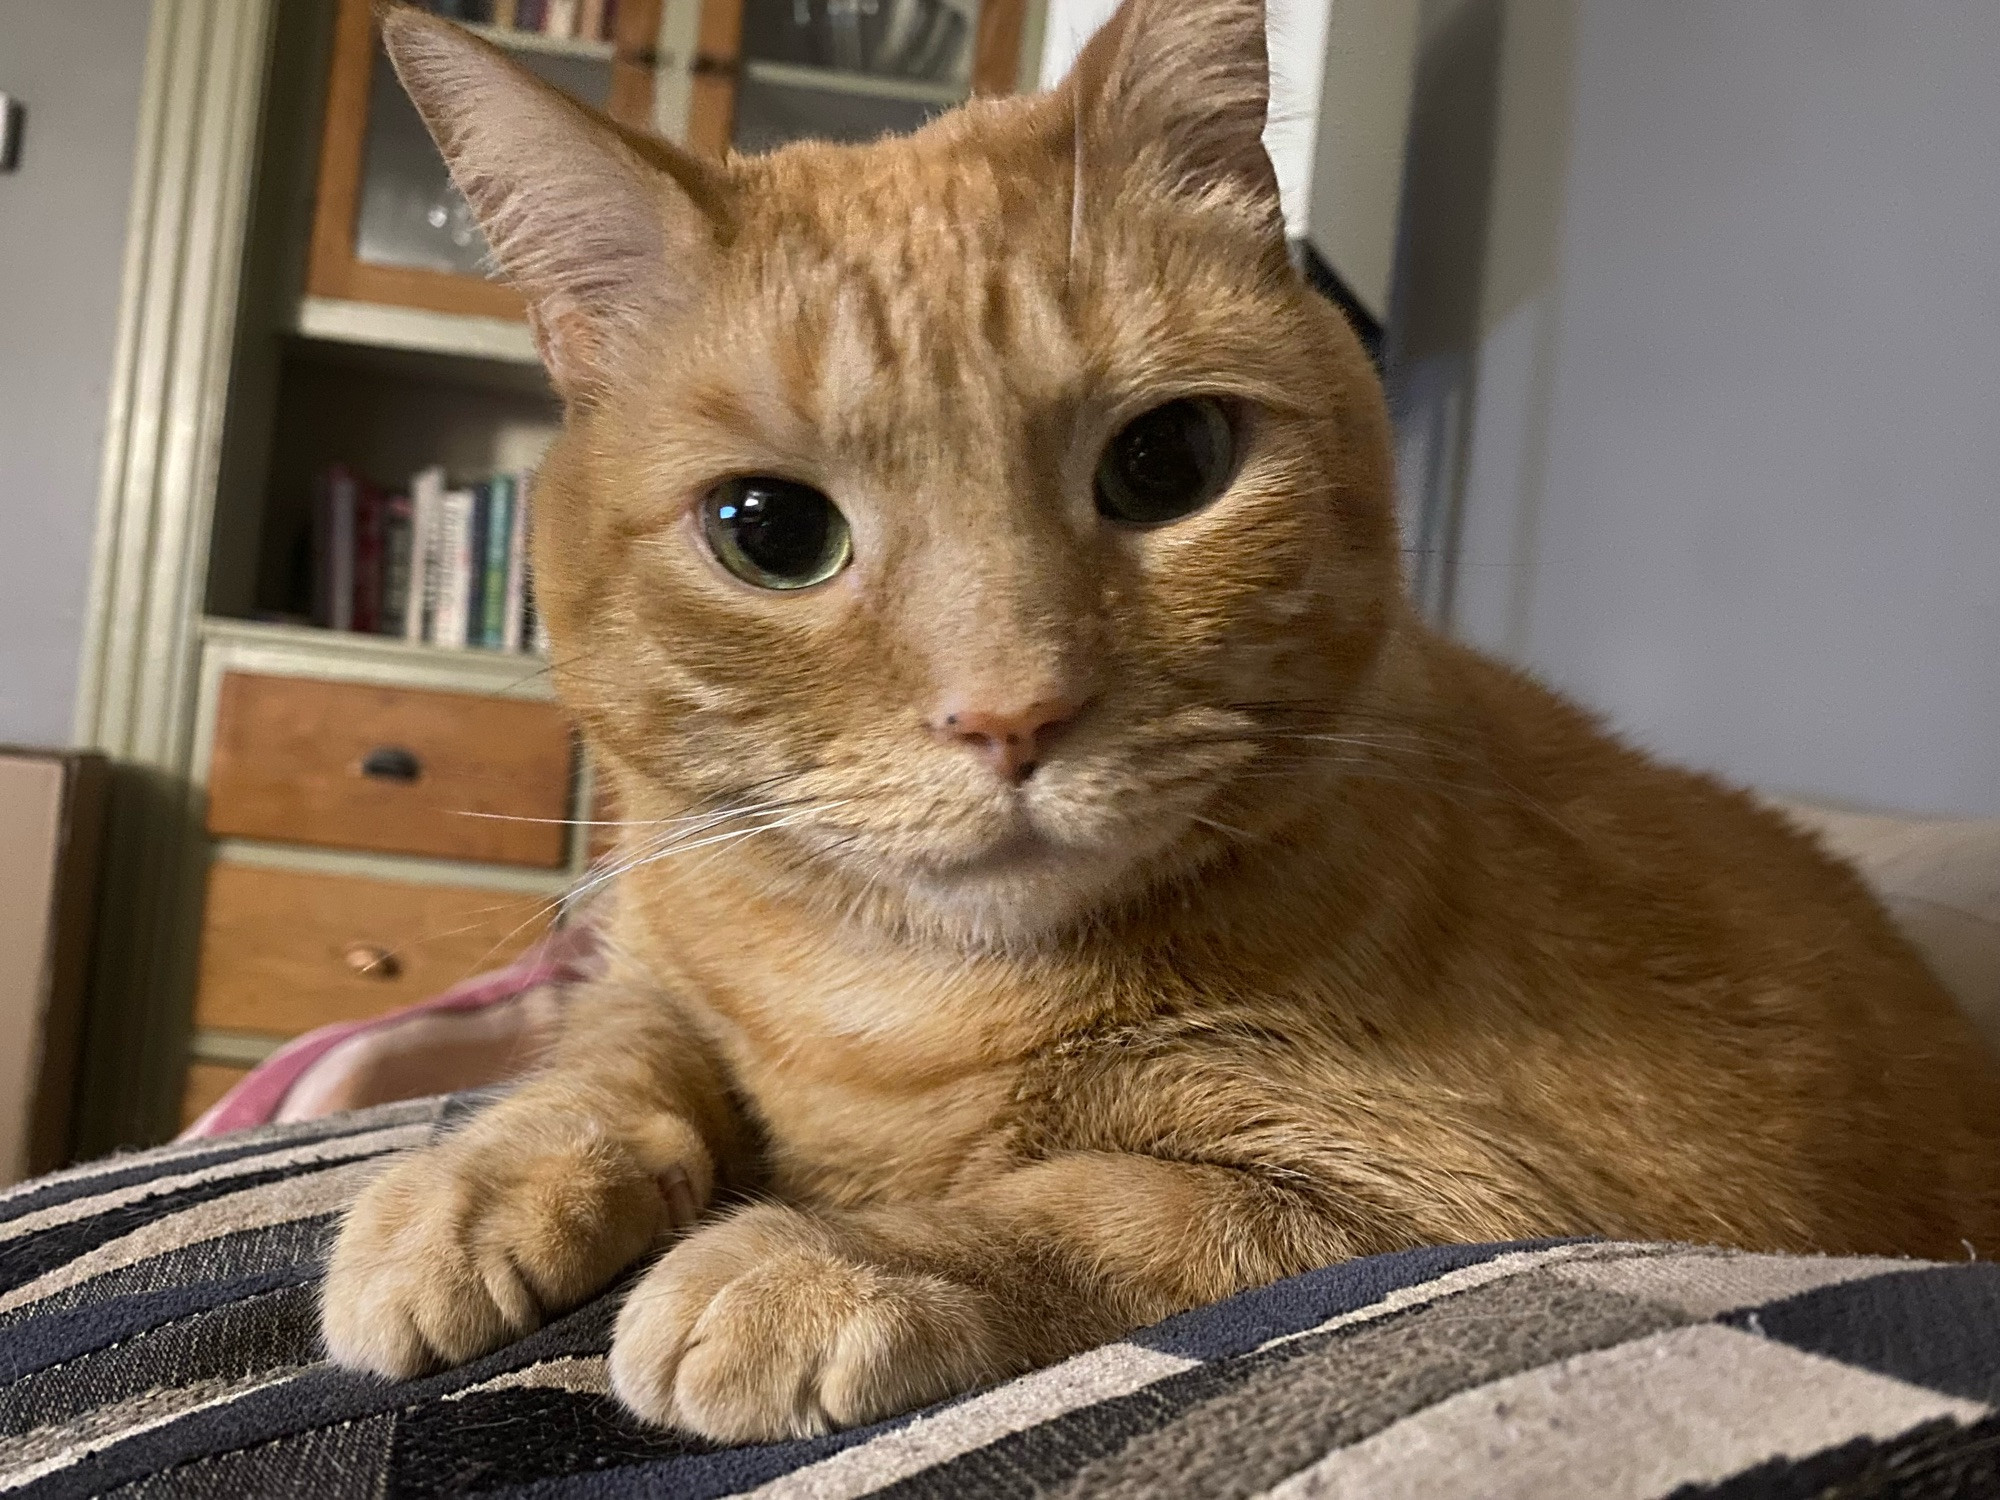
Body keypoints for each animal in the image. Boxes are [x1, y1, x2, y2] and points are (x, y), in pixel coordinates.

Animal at [320, 0, 2000, 1448]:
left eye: (1169, 460)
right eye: (768, 530)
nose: (1009, 714)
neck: (896, 1001)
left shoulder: (1471, 1199)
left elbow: (1101, 1200)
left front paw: (820, 1258)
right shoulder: (660, 964)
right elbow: (610, 1056)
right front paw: (459, 1196)